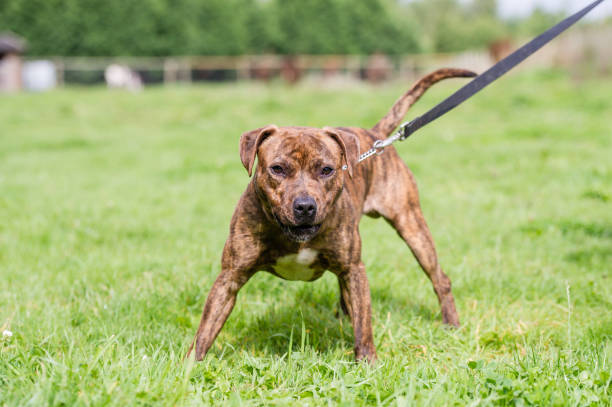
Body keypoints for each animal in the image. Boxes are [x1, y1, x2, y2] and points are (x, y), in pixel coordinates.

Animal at [189, 67, 476, 364]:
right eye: (277, 168)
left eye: (327, 169)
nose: (305, 206)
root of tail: (375, 135)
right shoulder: (230, 277)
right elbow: (206, 328)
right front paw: (190, 366)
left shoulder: (354, 269)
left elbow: (364, 325)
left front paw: (367, 362)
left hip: (412, 225)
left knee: (439, 279)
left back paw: (451, 325)